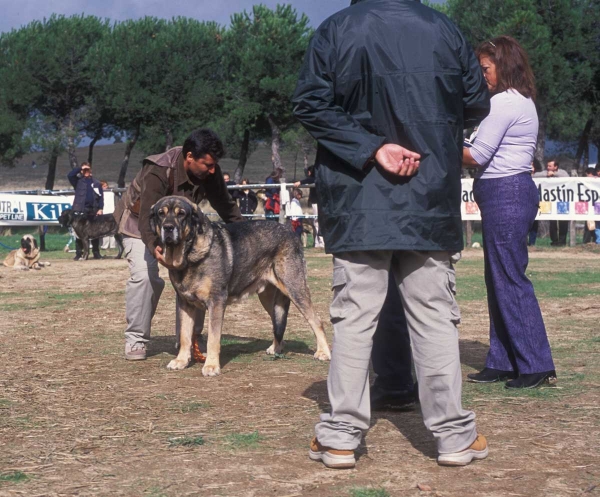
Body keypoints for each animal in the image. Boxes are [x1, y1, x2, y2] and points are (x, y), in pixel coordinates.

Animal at [148, 194, 330, 376]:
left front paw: (211, 366)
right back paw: (275, 348)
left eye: (181, 214)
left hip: (295, 287)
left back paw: (323, 352)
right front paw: (181, 361)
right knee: (277, 321)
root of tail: (290, 232)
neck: (189, 253)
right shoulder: (185, 303)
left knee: (316, 320)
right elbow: (185, 335)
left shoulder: (216, 302)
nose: (168, 228)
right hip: (268, 297)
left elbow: (213, 338)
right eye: (161, 214)